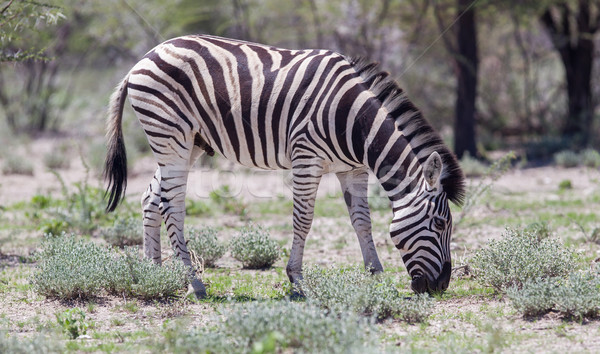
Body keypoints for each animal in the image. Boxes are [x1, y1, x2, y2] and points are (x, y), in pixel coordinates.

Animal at [105, 34, 466, 298]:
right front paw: (297, 281)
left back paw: (155, 276)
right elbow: (303, 219)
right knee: (172, 206)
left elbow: (362, 221)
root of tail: (144, 58)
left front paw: (374, 274)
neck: (355, 123)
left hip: (188, 143)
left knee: (151, 198)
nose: (441, 287)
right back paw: (195, 284)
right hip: (171, 136)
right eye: (439, 224)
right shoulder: (307, 157)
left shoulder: (352, 169)